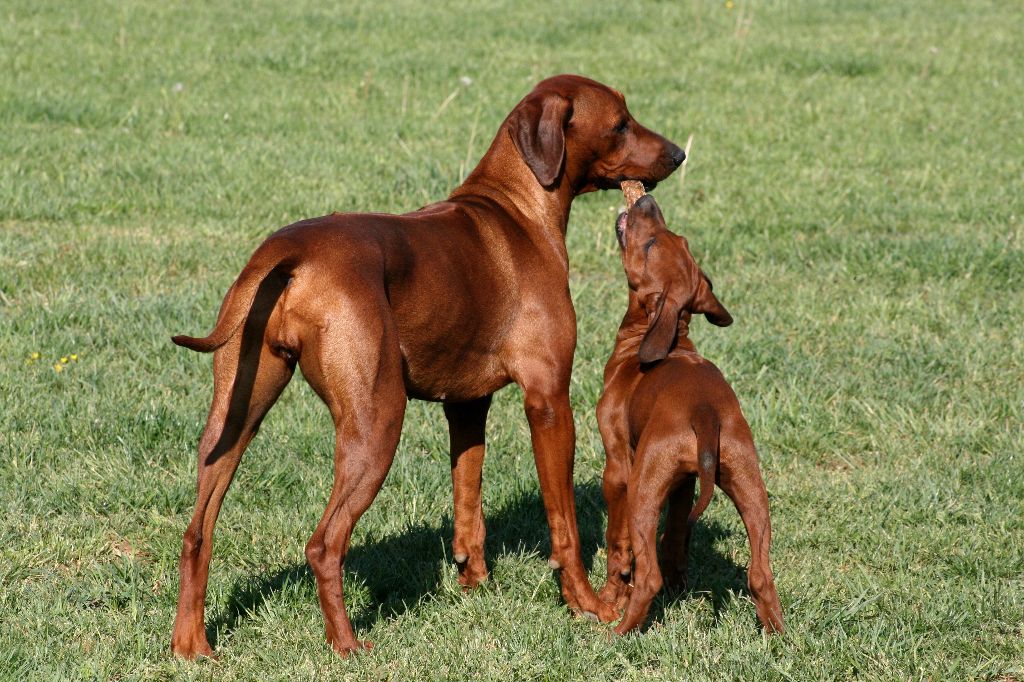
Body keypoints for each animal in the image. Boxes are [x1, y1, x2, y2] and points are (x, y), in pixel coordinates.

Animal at [167, 73, 684, 655]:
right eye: (620, 124)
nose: (678, 153)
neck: (518, 206)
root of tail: (289, 252)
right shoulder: (548, 399)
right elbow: (565, 525)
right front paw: (585, 603)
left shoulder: (467, 405)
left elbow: (468, 500)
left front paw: (473, 583)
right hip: (377, 422)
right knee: (324, 544)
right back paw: (347, 646)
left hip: (235, 417)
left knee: (197, 531)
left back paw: (191, 645)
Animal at [593, 195, 782, 630]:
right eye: (677, 237)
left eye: (650, 246)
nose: (647, 199)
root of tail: (705, 412)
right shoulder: (683, 483)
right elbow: (676, 537)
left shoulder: (618, 467)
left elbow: (617, 542)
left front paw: (611, 594)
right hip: (748, 481)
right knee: (760, 574)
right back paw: (779, 636)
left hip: (643, 489)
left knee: (649, 575)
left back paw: (619, 632)